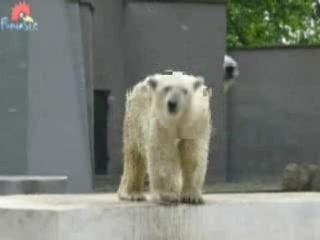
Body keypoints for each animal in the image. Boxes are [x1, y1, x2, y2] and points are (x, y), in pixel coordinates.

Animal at [117, 70, 212, 204]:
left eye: (185, 90)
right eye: (166, 88)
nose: (172, 103)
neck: (177, 120)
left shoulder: (194, 122)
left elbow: (193, 155)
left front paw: (191, 196)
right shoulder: (161, 125)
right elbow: (163, 154)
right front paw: (168, 195)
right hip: (135, 118)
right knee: (134, 157)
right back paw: (132, 194)